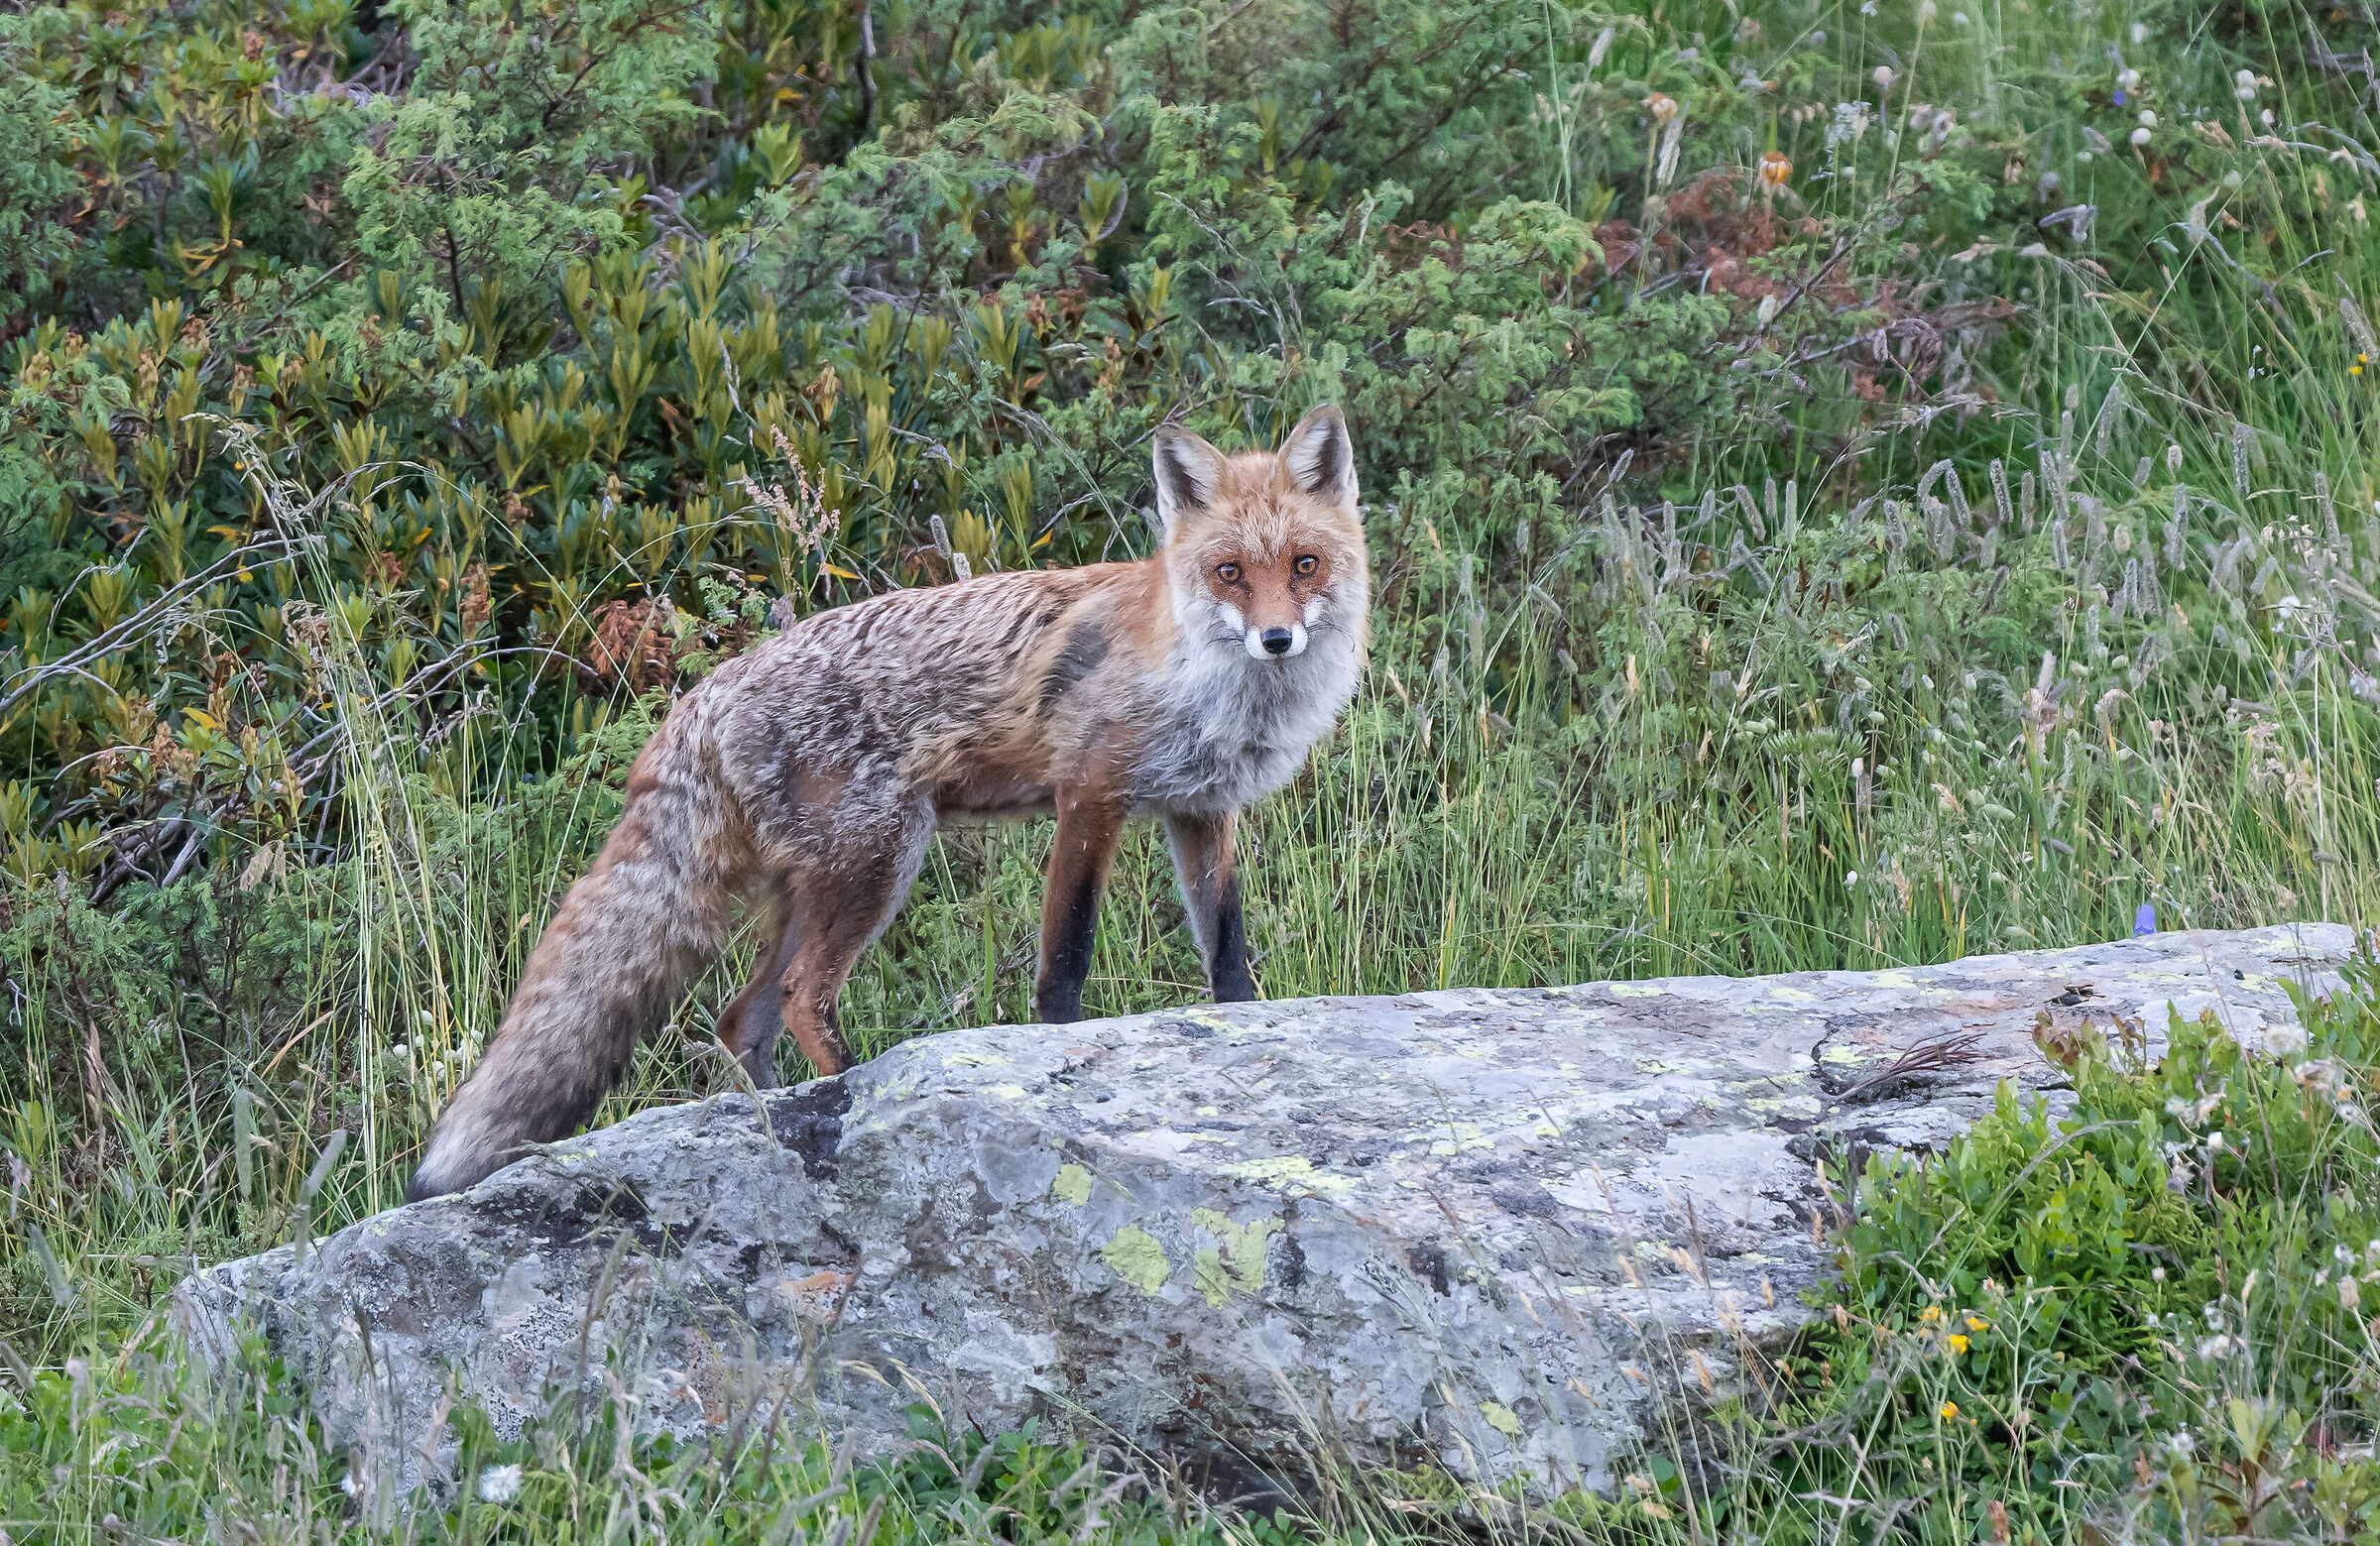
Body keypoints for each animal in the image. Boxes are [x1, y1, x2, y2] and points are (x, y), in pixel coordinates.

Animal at [405, 406, 1371, 1200]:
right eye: (1230, 571)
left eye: (1304, 565)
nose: (1277, 638)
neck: (1209, 686)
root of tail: (703, 695)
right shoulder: (1089, 794)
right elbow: (1064, 966)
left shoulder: (1200, 809)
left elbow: (1229, 955)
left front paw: (1241, 1021)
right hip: (882, 860)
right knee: (800, 996)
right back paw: (846, 1098)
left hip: (818, 887)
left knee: (739, 1017)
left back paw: (767, 1122)